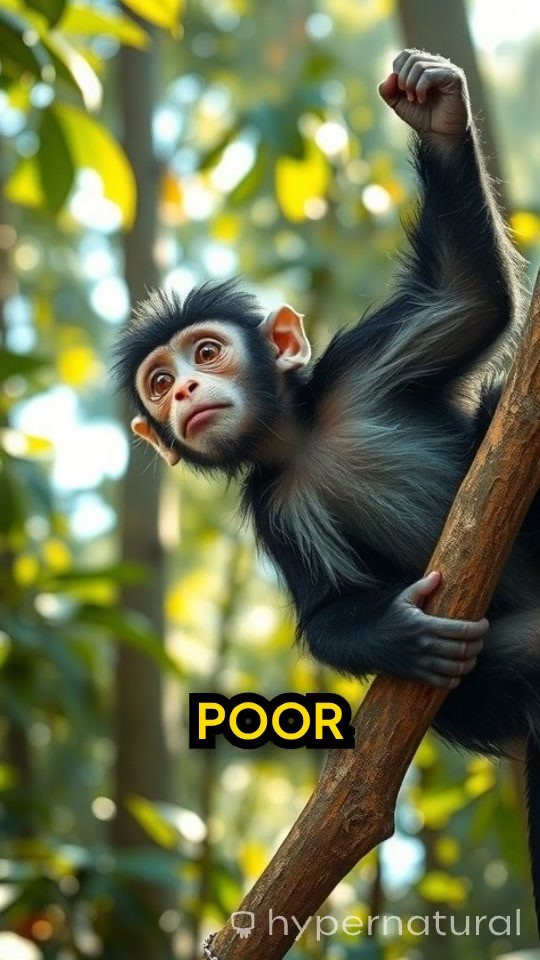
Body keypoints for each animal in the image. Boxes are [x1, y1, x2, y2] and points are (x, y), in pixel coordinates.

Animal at [113, 51, 540, 926]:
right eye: (160, 381)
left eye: (207, 353)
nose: (185, 393)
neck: (300, 439)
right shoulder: (274, 506)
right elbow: (327, 608)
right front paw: (395, 633)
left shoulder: (362, 364)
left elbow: (471, 296)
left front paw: (437, 109)